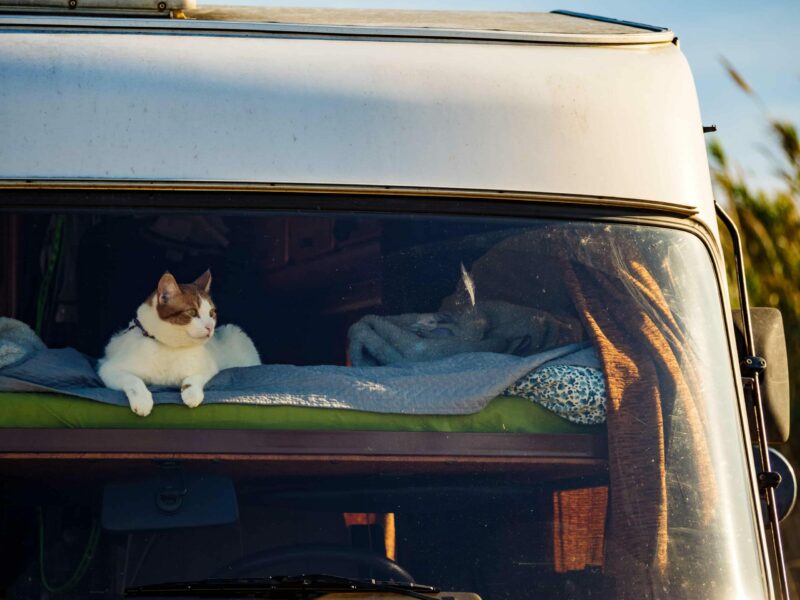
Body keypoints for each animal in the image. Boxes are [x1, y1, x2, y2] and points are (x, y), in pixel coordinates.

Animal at [96, 270, 260, 414]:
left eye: (212, 313)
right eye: (192, 312)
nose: (210, 327)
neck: (170, 347)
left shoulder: (208, 367)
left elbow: (194, 377)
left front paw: (191, 393)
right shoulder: (108, 369)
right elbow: (133, 380)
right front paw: (142, 401)